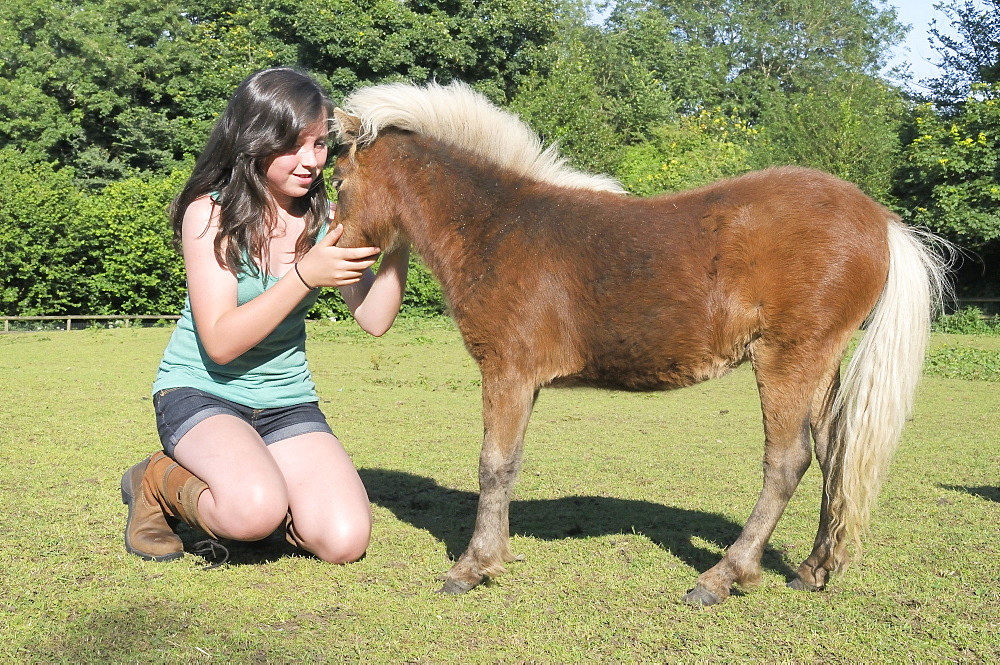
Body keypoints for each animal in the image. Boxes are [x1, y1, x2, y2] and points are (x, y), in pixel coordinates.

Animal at [332, 81, 948, 600]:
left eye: (336, 181)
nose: (335, 255)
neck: (496, 227)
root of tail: (880, 220)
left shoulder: (506, 371)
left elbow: (494, 463)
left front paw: (472, 566)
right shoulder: (524, 382)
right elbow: (511, 464)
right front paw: (499, 554)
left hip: (787, 358)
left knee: (787, 460)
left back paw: (722, 576)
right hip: (822, 363)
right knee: (833, 451)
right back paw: (813, 569)